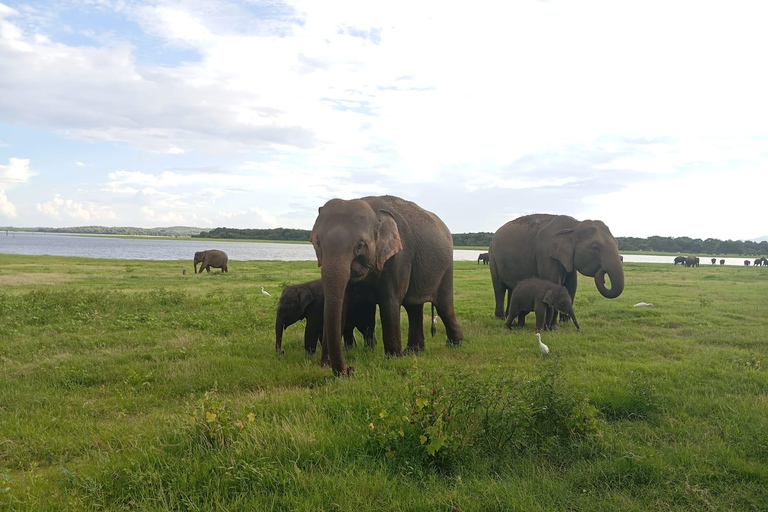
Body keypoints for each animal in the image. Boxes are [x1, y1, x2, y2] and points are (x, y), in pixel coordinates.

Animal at [310, 194, 464, 374]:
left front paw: (393, 359)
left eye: (360, 245)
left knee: (444, 307)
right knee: (414, 308)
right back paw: (414, 351)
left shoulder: (399, 256)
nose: (350, 369)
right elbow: (342, 303)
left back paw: (455, 344)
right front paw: (324, 365)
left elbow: (389, 300)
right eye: (317, 243)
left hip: (446, 268)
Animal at [488, 213, 628, 320]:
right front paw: (554, 326)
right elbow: (554, 283)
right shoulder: (546, 253)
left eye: (617, 243)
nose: (603, 273)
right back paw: (501, 318)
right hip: (493, 257)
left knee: (512, 288)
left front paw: (565, 322)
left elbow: (571, 286)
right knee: (499, 287)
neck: (574, 226)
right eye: (595, 247)